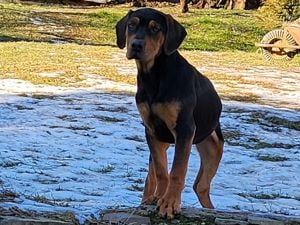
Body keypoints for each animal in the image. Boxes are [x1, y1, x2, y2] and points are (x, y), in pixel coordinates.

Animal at [116, 8, 224, 218]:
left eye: (155, 28)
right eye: (131, 25)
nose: (136, 45)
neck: (153, 75)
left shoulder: (184, 130)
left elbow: (177, 172)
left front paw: (169, 204)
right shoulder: (151, 131)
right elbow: (160, 172)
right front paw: (159, 198)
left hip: (215, 147)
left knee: (201, 186)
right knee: (152, 176)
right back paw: (148, 199)